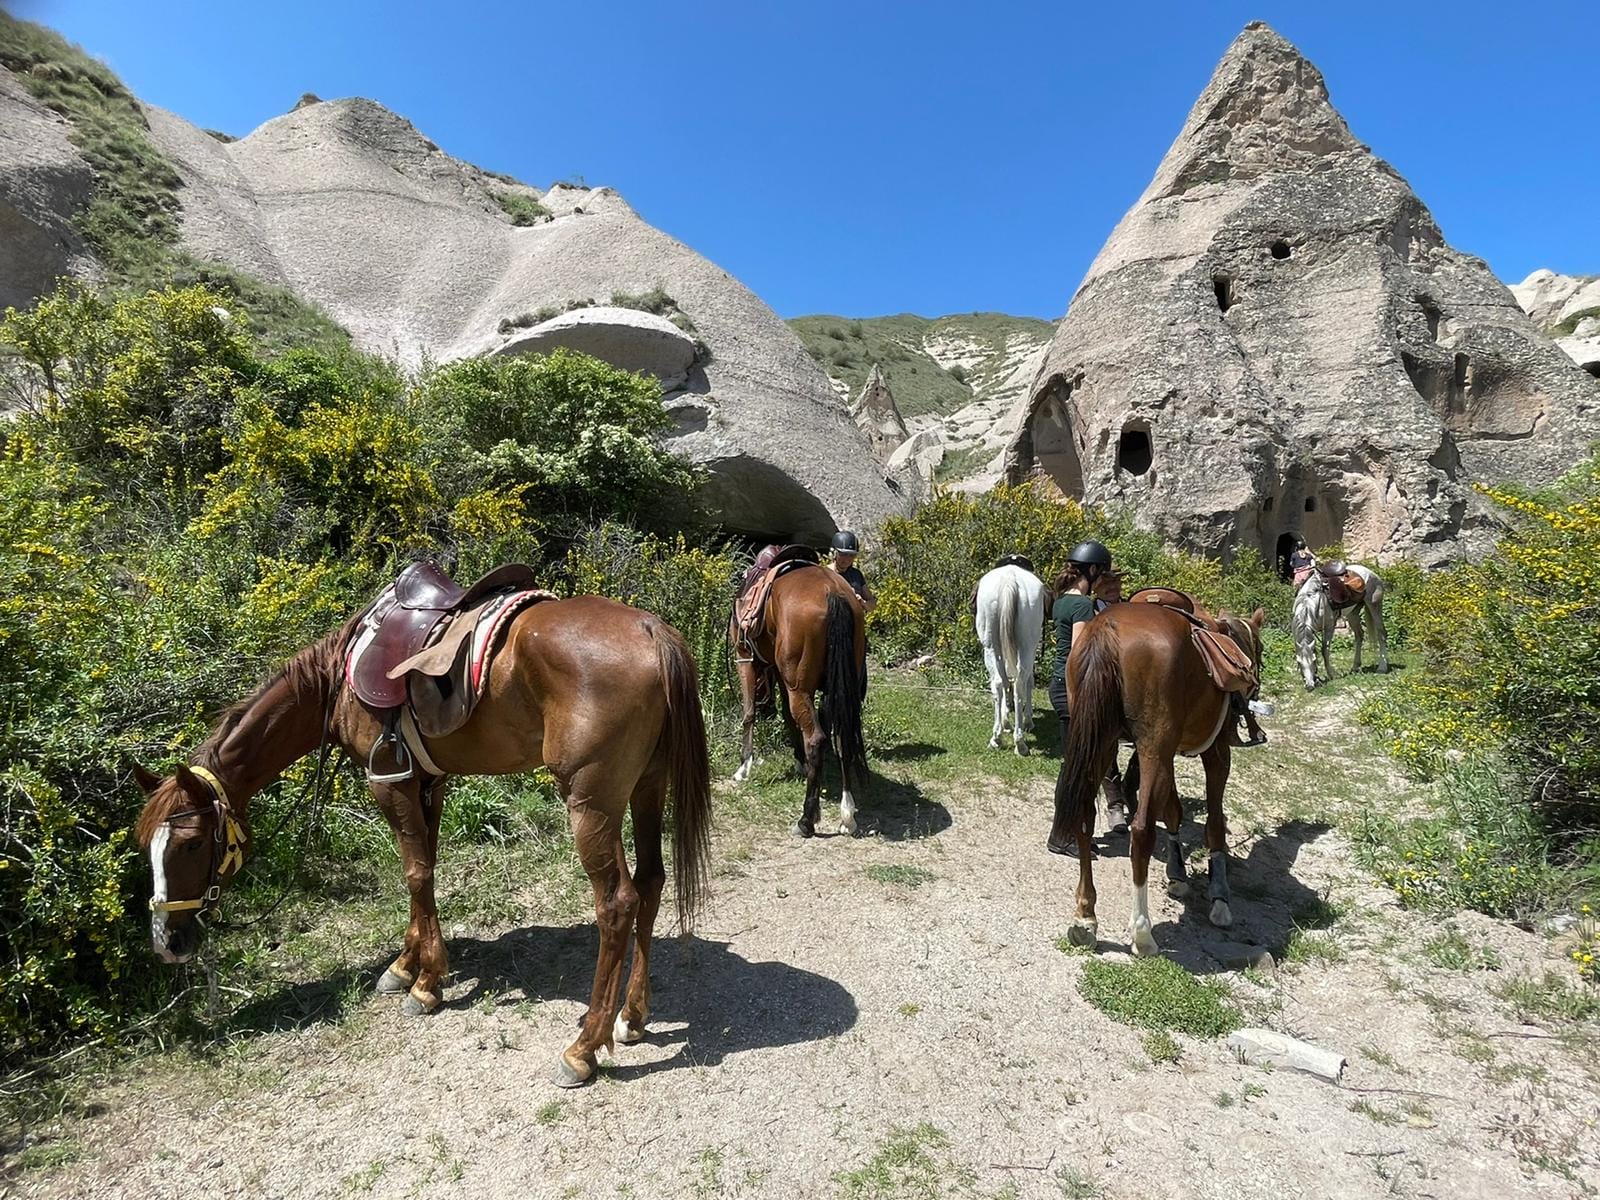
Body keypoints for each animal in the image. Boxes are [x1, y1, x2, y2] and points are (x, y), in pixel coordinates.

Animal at [134, 594, 712, 1089]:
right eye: (148, 848)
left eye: (190, 844)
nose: (166, 941)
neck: (338, 679)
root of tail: (651, 629)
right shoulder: (426, 783)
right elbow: (424, 869)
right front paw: (407, 965)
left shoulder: (387, 783)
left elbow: (414, 872)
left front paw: (427, 982)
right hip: (647, 786)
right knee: (651, 882)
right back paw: (631, 1017)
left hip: (590, 804)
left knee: (616, 904)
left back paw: (583, 1049)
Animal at [731, 565, 867, 838]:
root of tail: (833, 592)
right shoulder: (781, 674)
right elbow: (787, 717)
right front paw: (798, 761)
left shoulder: (745, 660)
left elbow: (748, 713)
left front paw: (744, 766)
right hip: (835, 688)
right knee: (842, 740)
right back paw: (847, 816)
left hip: (799, 689)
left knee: (816, 739)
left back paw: (806, 820)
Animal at [975, 562, 1049, 755]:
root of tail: (1009, 579)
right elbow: (1028, 683)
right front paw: (1028, 720)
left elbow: (1005, 682)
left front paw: (1005, 721)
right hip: (1027, 648)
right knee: (1020, 685)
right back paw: (1020, 741)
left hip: (990, 647)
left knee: (999, 684)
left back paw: (997, 738)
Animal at [1046, 600, 1265, 955]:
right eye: (1259, 649)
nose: (1255, 683)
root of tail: (1107, 629)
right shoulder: (1216, 752)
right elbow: (1214, 822)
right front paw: (1219, 898)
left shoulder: (1169, 754)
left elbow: (1174, 811)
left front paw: (1177, 874)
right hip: (1151, 747)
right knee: (1142, 829)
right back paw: (1142, 933)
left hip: (1103, 742)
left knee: (1084, 820)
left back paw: (1085, 919)